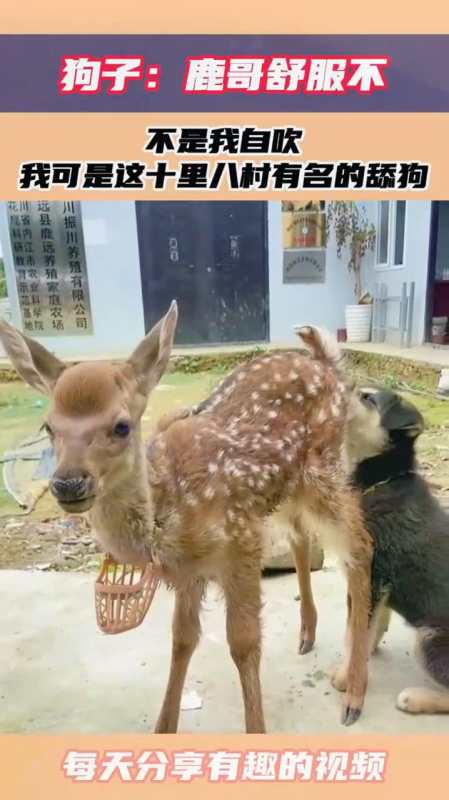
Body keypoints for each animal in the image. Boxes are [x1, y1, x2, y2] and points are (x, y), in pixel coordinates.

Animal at [0, 303, 372, 732]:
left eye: (121, 426)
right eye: (48, 426)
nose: (67, 483)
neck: (169, 509)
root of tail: (327, 364)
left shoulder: (240, 543)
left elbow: (243, 643)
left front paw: (256, 730)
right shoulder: (189, 573)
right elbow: (182, 640)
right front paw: (163, 730)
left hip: (324, 469)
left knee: (359, 544)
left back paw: (354, 694)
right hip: (285, 489)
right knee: (301, 537)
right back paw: (307, 634)